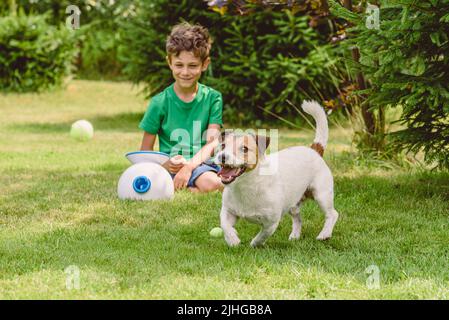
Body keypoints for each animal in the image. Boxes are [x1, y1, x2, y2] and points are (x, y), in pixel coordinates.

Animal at [215, 100, 338, 248]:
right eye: (222, 146)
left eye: (244, 149)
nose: (222, 156)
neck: (245, 185)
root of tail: (314, 150)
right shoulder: (227, 211)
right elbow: (224, 225)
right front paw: (232, 239)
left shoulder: (271, 222)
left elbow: (262, 235)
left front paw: (254, 244)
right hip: (293, 202)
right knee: (298, 218)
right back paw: (295, 236)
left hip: (322, 195)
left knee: (332, 214)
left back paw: (324, 234)